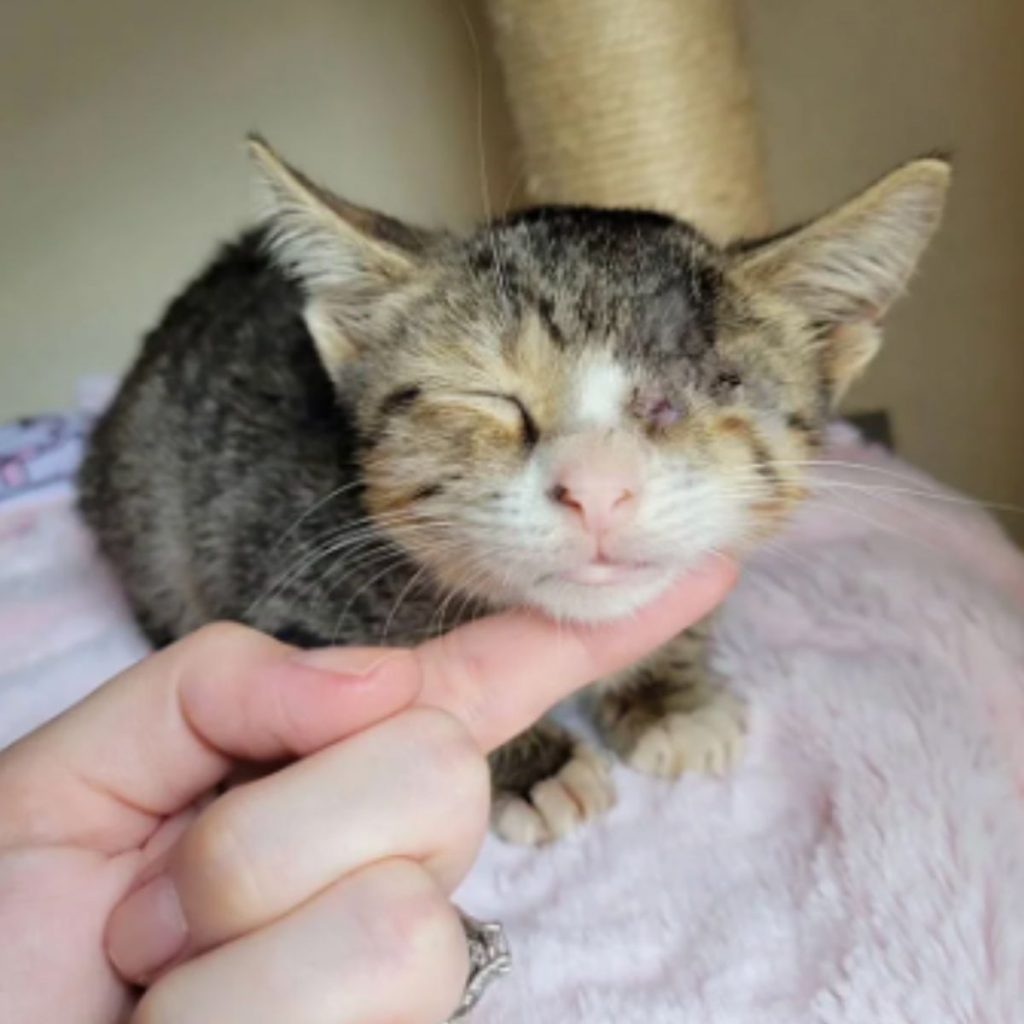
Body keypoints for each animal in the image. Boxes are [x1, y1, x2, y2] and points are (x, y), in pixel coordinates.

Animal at [79, 134, 950, 839]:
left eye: (683, 399)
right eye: (495, 399)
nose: (596, 489)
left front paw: (670, 693)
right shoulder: (285, 583)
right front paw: (528, 763)